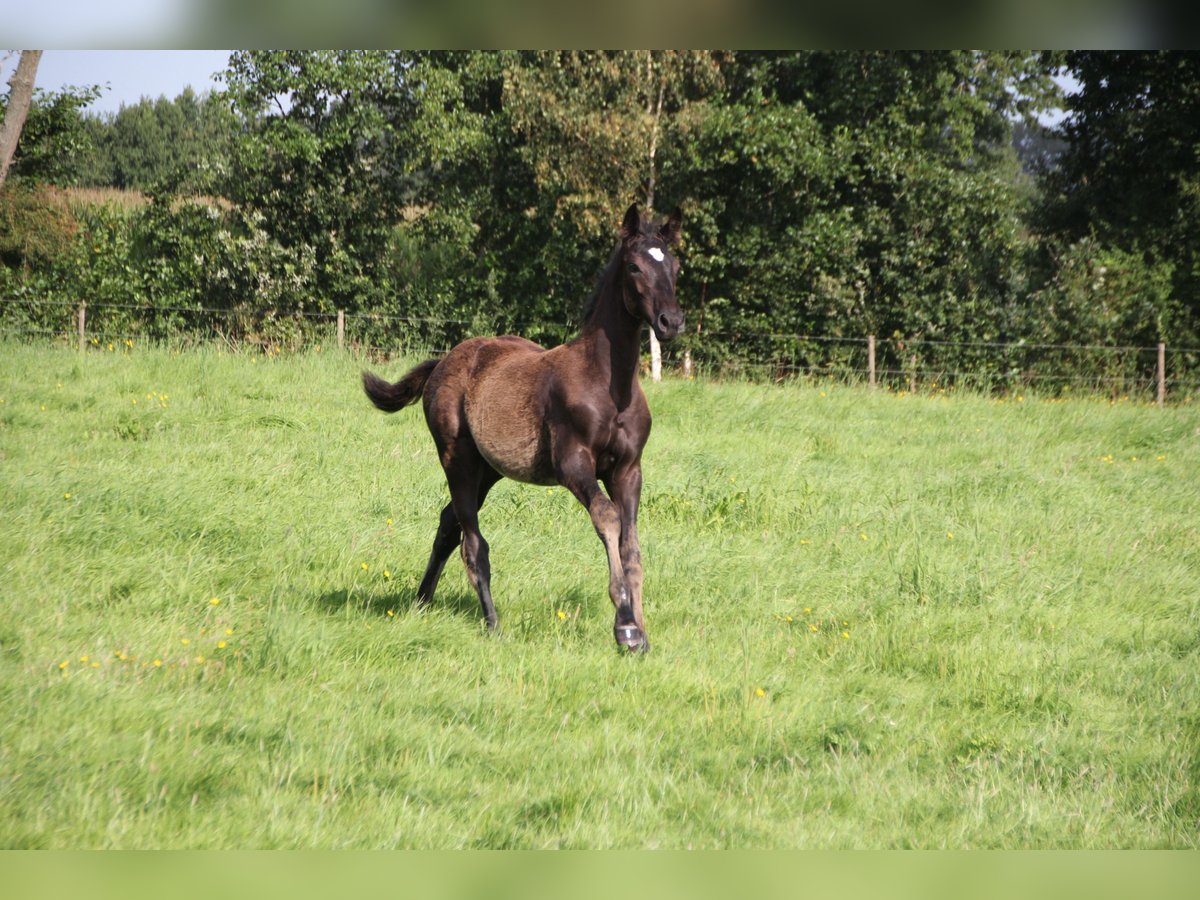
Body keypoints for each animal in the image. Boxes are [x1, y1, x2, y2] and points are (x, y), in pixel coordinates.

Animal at [362, 204, 686, 657]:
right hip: (457, 458)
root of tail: (444, 360)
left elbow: (632, 544)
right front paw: (625, 628)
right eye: (635, 267)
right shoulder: (573, 464)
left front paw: (642, 633)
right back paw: (493, 625)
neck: (609, 384)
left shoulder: (628, 469)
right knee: (472, 542)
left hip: (488, 469)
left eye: (675, 267)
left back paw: (421, 603)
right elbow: (607, 518)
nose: (671, 322)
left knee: (448, 524)